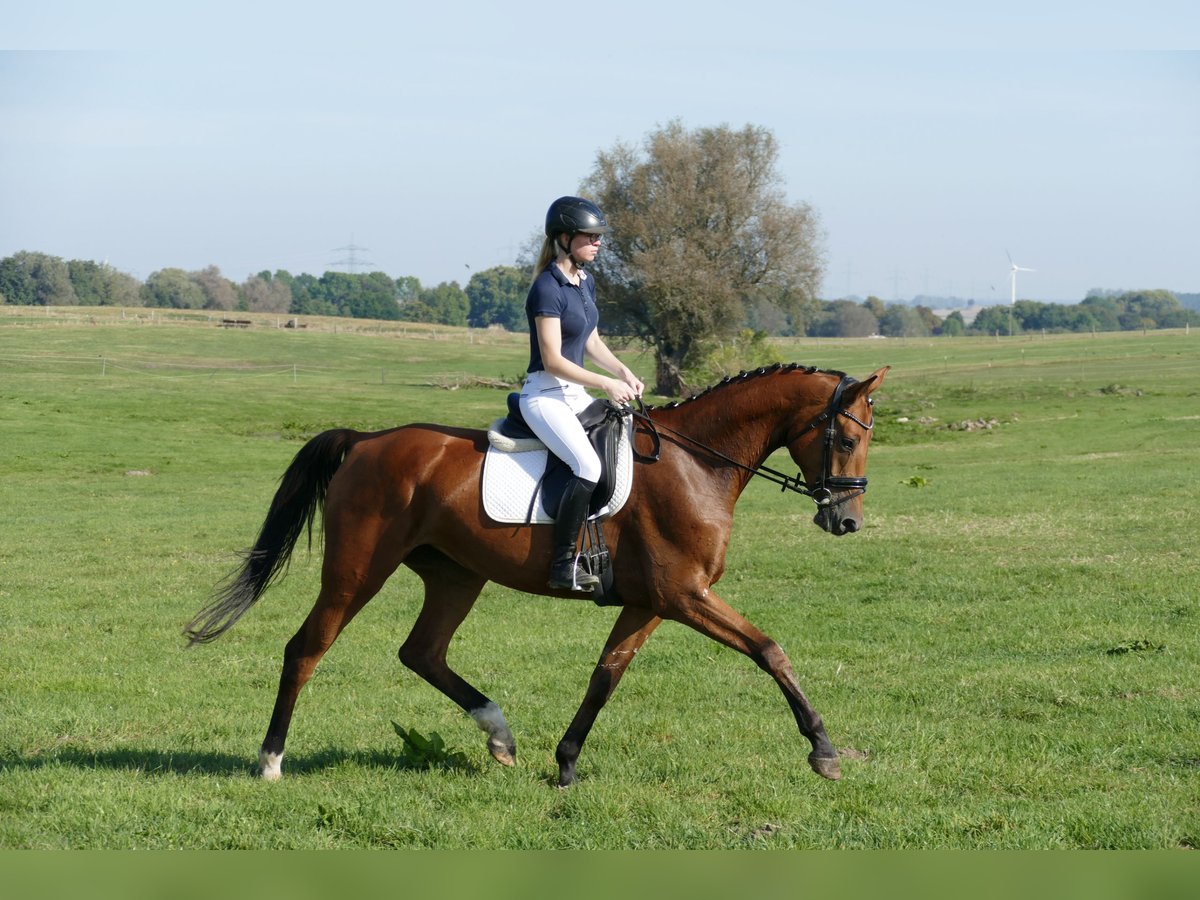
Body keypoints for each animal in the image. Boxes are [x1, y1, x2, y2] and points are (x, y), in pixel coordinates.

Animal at [182, 362, 888, 787]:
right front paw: (824, 750)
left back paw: (499, 735)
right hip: (357, 572)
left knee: (422, 652)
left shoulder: (653, 602)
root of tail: (366, 441)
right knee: (307, 649)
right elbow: (770, 651)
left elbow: (606, 676)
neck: (697, 463)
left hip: (456, 576)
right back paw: (271, 760)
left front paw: (567, 764)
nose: (847, 521)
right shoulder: (686, 595)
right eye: (849, 440)